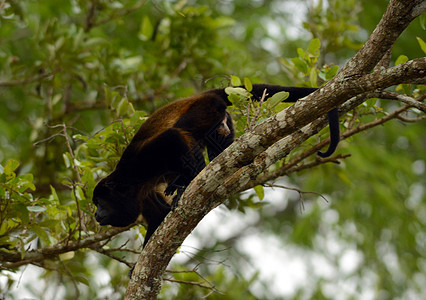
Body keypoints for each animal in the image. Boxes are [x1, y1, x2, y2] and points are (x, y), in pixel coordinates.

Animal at [92, 84, 340, 251]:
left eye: (100, 203)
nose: (95, 214)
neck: (128, 185)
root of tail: (203, 94)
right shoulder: (142, 194)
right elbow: (158, 218)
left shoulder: (137, 164)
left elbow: (172, 137)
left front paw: (185, 184)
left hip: (205, 109)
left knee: (184, 129)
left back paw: (186, 181)